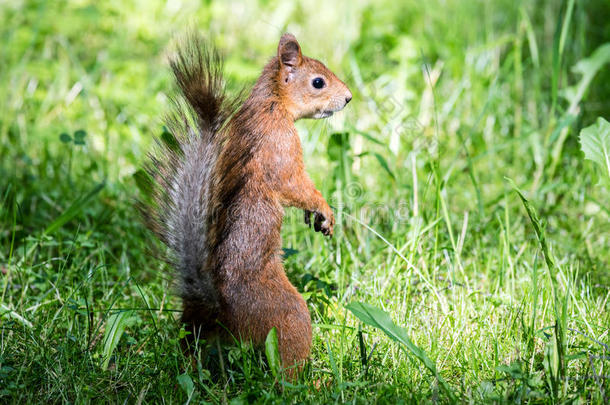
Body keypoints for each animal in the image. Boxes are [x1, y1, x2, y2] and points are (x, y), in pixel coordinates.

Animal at [141, 33, 352, 374]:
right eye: (318, 82)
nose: (348, 98)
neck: (271, 103)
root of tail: (217, 310)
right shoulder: (279, 146)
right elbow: (294, 184)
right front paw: (323, 209)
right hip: (286, 315)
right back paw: (313, 380)